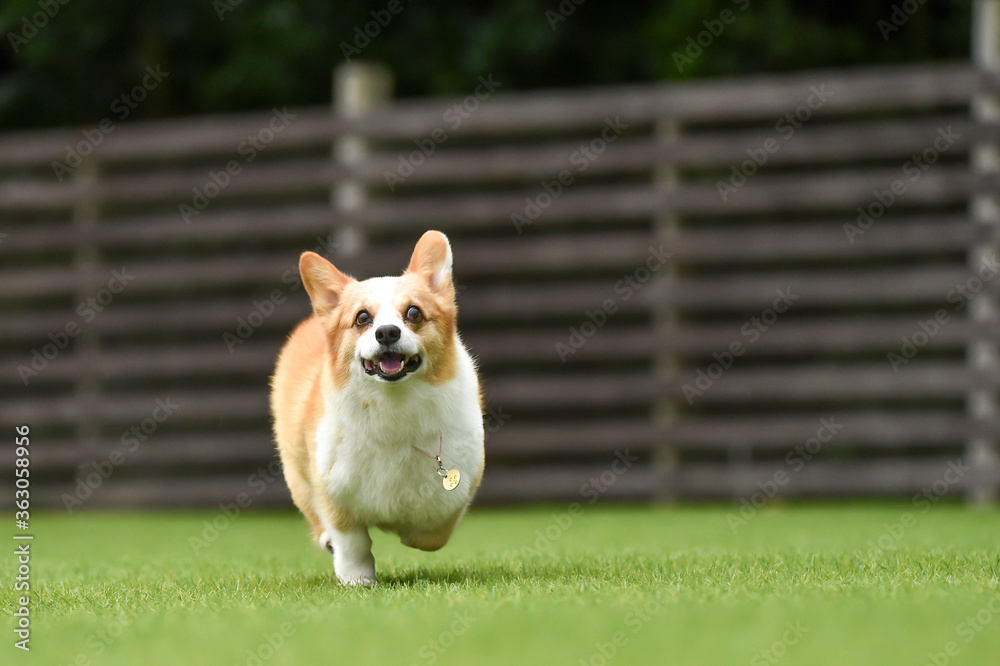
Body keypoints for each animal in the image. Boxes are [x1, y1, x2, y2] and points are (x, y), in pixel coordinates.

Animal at [268, 231, 482, 584]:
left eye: (414, 313)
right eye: (362, 318)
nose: (387, 332)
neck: (393, 404)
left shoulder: (458, 486)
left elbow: (431, 531)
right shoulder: (331, 487)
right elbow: (350, 539)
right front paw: (358, 579)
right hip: (296, 471)